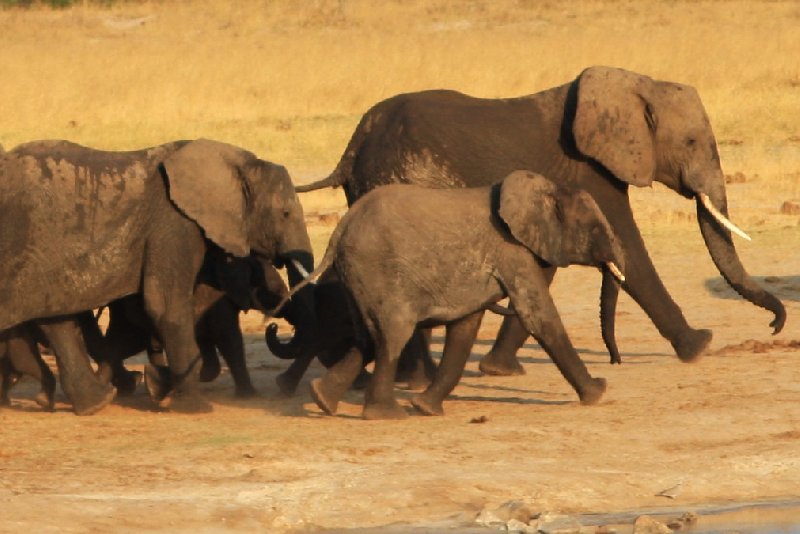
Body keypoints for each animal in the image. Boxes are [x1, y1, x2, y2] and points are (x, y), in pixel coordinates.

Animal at [0, 138, 318, 414]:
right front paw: (196, 408)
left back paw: (88, 401)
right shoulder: (175, 223)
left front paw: (163, 389)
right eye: (286, 213)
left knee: (58, 320)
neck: (237, 162)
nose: (272, 324)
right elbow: (165, 307)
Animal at [286, 170, 624, 420]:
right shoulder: (511, 250)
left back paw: (322, 400)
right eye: (595, 230)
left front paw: (426, 409)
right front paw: (598, 393)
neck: (545, 189)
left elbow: (465, 326)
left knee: (368, 338)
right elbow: (538, 316)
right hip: (376, 269)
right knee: (393, 333)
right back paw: (388, 415)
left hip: (357, 277)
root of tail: (340, 230)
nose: (614, 364)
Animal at [296, 67, 784, 374]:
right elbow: (631, 248)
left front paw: (499, 370)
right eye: (691, 142)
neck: (634, 84)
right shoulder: (589, 169)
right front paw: (699, 346)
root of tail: (354, 144)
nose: (776, 325)